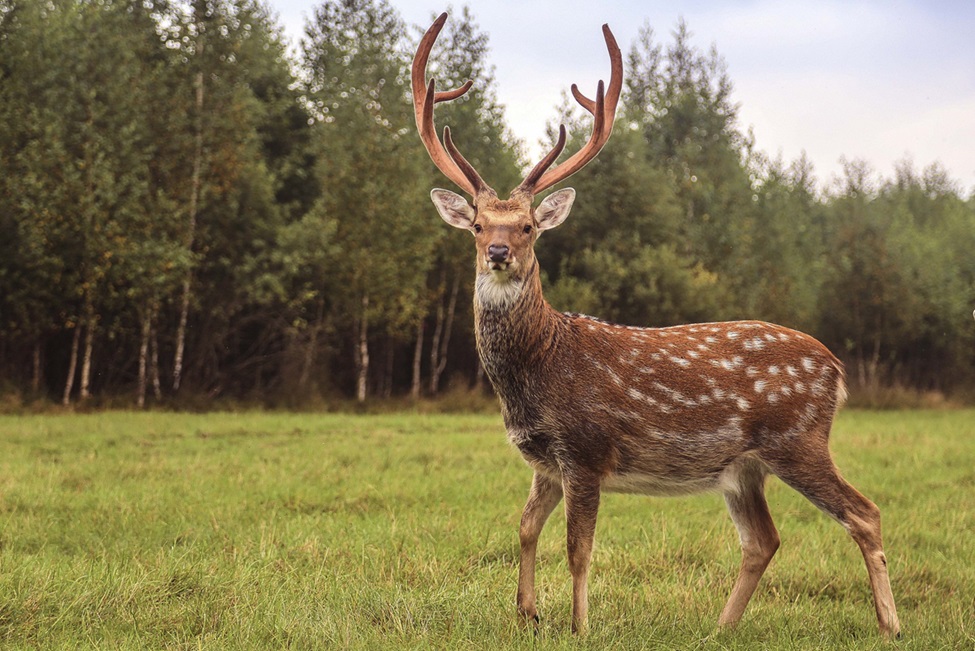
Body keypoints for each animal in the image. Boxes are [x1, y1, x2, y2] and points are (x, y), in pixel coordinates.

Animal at [412, 12, 900, 640]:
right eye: (476, 225)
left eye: (527, 227)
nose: (498, 252)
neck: (538, 369)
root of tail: (836, 369)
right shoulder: (545, 460)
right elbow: (523, 528)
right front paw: (527, 614)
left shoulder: (586, 448)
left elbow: (578, 548)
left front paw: (579, 626)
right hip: (744, 468)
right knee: (763, 540)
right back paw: (719, 629)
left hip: (798, 439)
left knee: (864, 513)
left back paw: (890, 625)